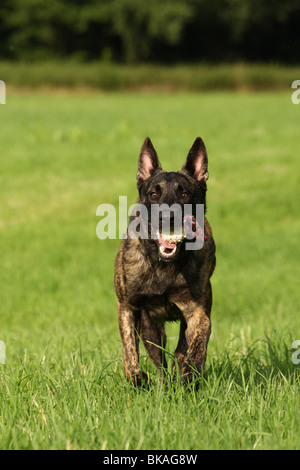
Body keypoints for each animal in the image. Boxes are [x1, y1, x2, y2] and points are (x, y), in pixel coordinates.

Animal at [114, 137, 216, 386]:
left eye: (185, 194)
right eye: (153, 194)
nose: (167, 217)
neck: (162, 265)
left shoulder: (198, 313)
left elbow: (196, 347)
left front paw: (190, 376)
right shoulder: (128, 308)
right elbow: (131, 362)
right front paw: (140, 380)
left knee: (180, 351)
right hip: (150, 328)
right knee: (160, 362)